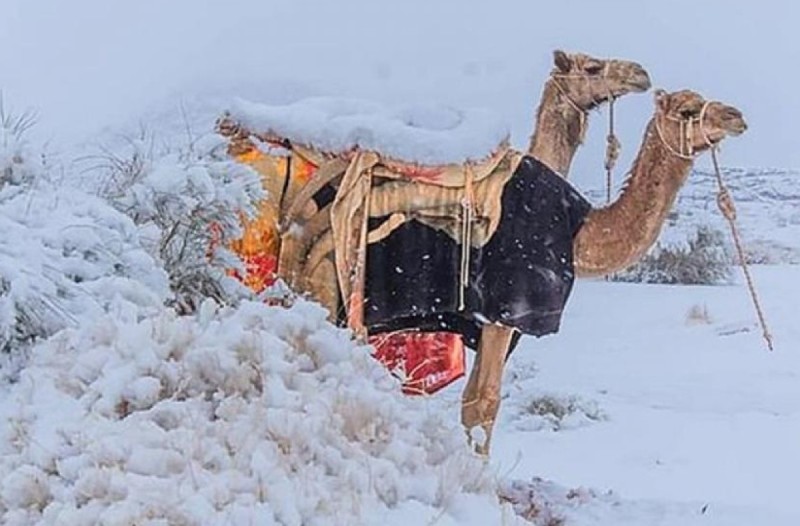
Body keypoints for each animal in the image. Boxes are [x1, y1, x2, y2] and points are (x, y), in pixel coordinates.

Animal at [462, 89, 752, 454]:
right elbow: (484, 405)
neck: (574, 229)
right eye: (688, 110)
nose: (735, 116)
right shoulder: (504, 310)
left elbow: (470, 402)